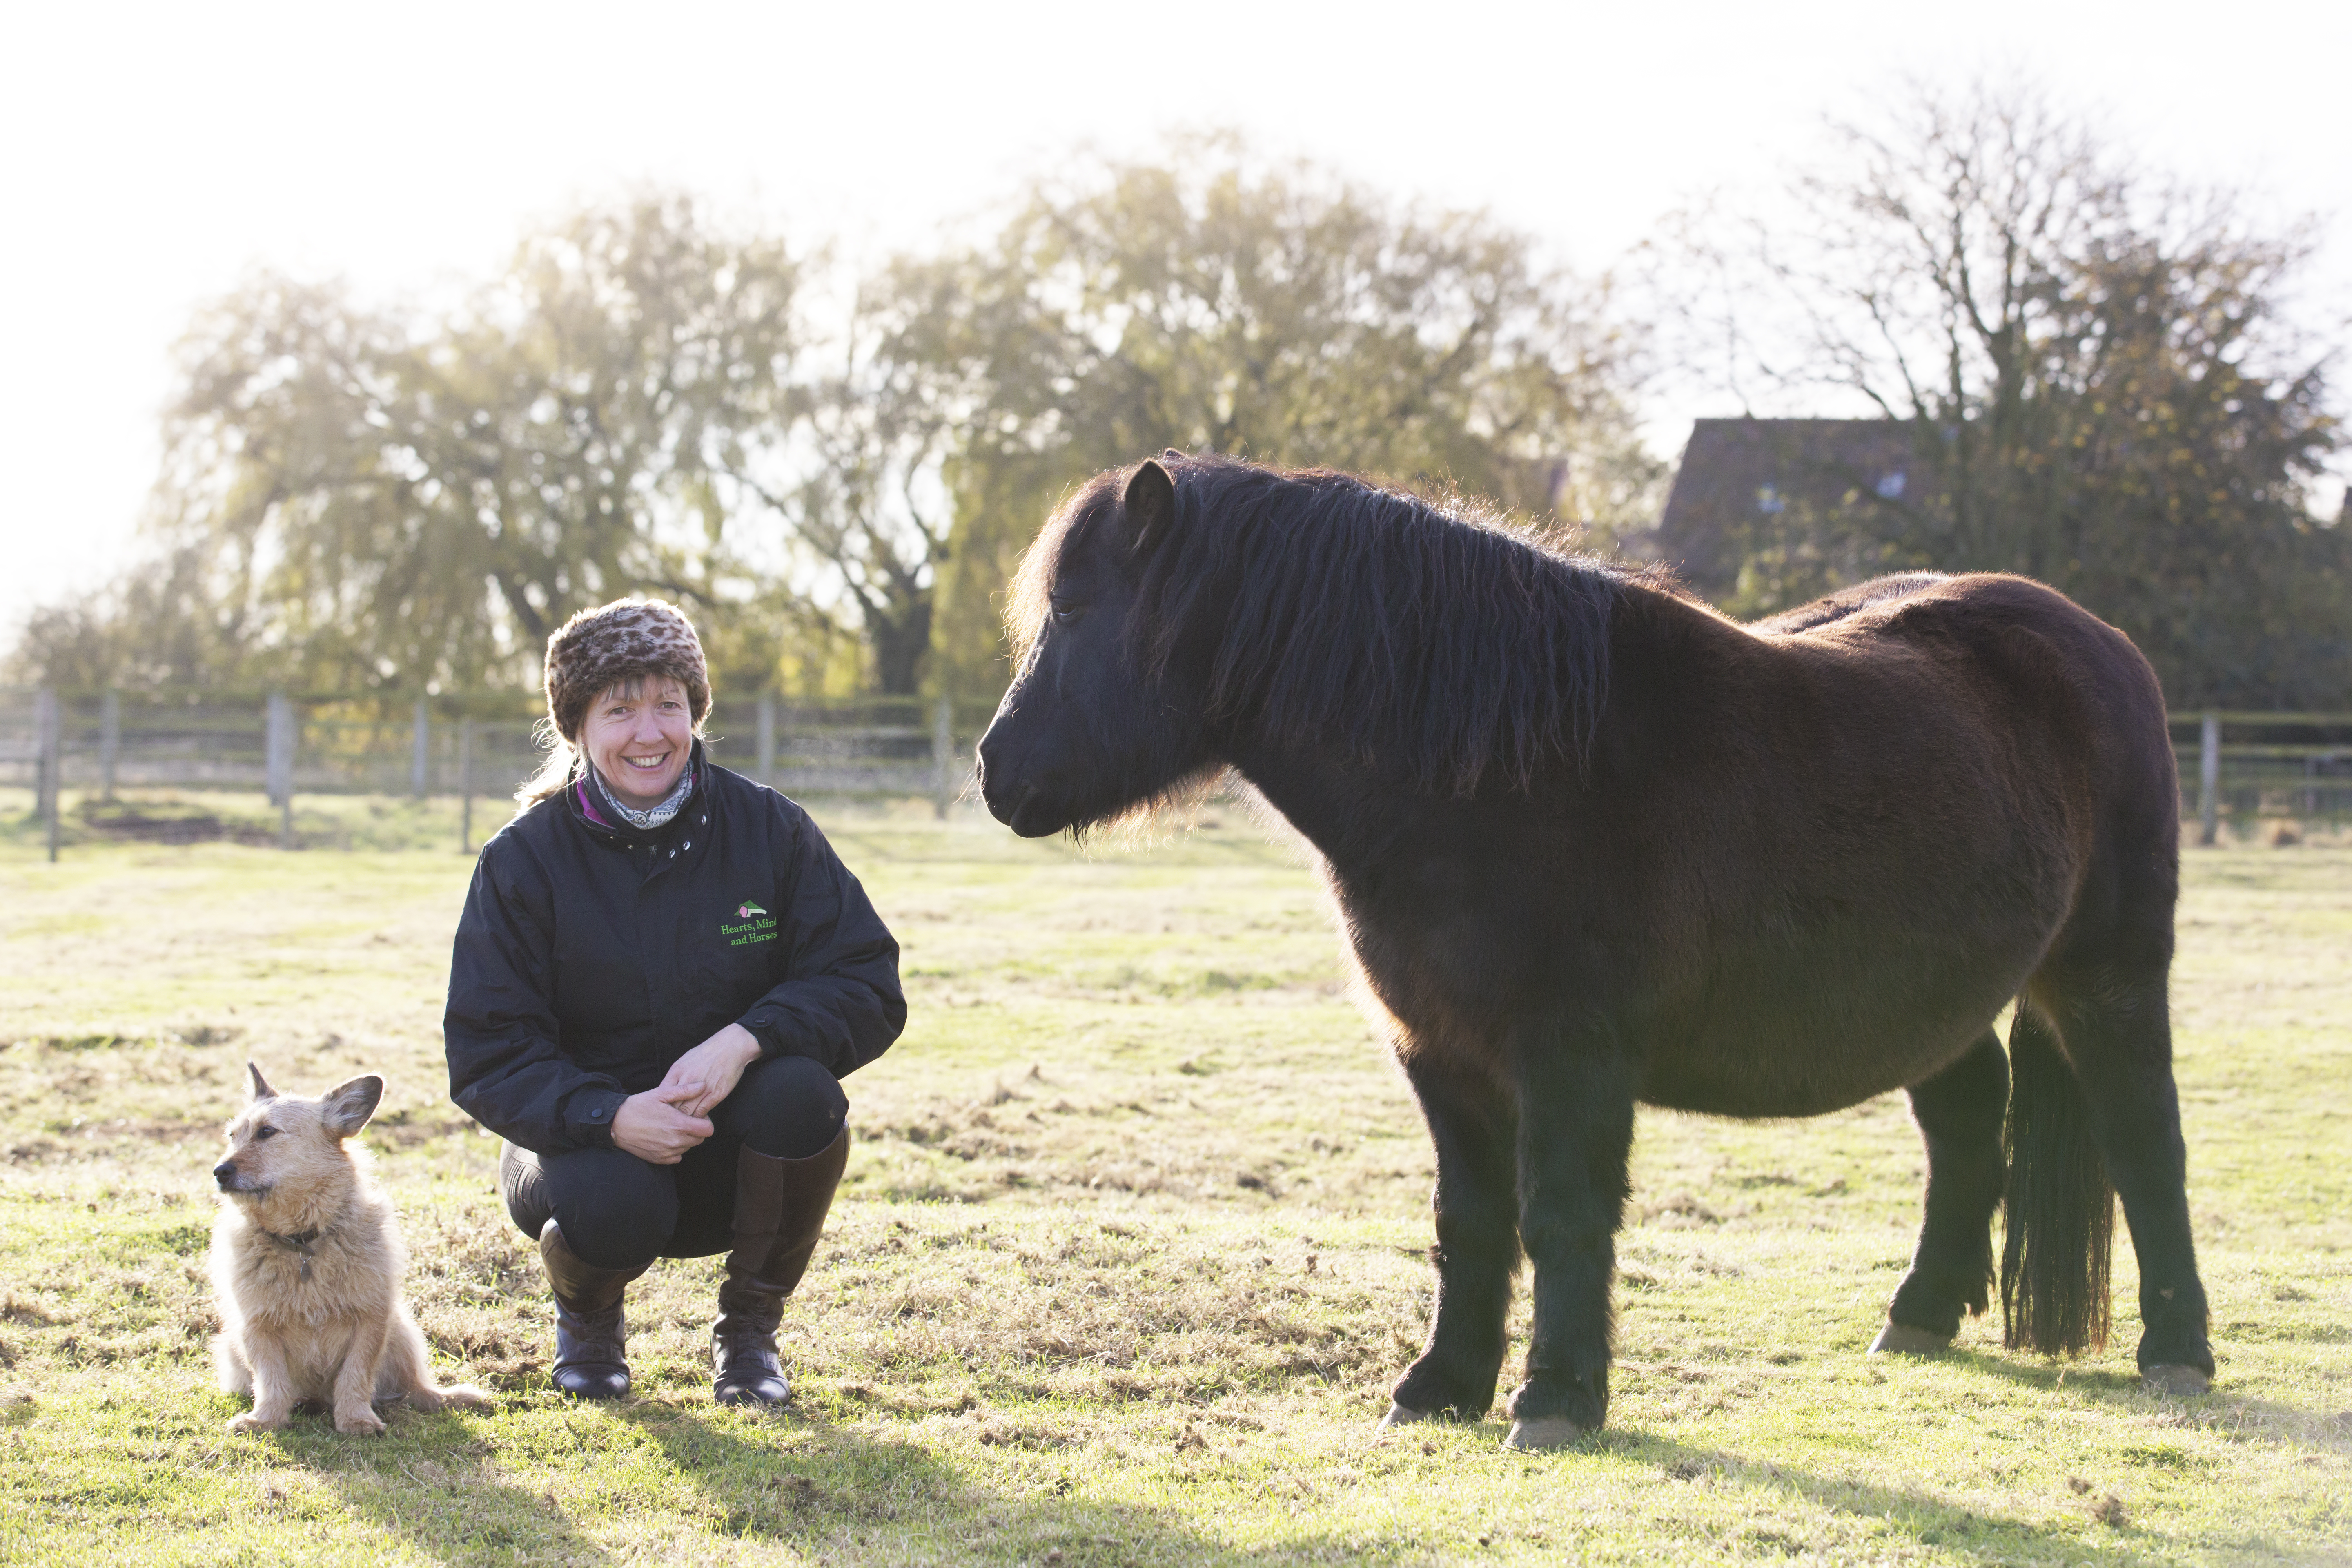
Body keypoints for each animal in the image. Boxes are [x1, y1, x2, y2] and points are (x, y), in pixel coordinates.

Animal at [212, 1067, 491, 1439]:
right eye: (232, 1136)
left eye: (267, 1132)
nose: (219, 1172)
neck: (303, 1243)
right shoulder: (256, 1327)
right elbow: (271, 1380)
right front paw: (266, 1420)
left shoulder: (371, 1320)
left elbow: (356, 1376)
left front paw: (356, 1420)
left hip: (402, 1330)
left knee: (415, 1389)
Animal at [969, 451, 2201, 1448]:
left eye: (1073, 610)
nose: (995, 771)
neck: (1495, 774)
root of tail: (2101, 646)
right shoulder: (1441, 1055)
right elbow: (1469, 1220)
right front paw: (1440, 1387)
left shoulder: (1571, 1058)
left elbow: (1562, 1214)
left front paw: (1555, 1398)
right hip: (1931, 1002)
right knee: (1965, 1124)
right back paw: (1919, 1315)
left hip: (2108, 976)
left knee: (2144, 1141)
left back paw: (2178, 1350)